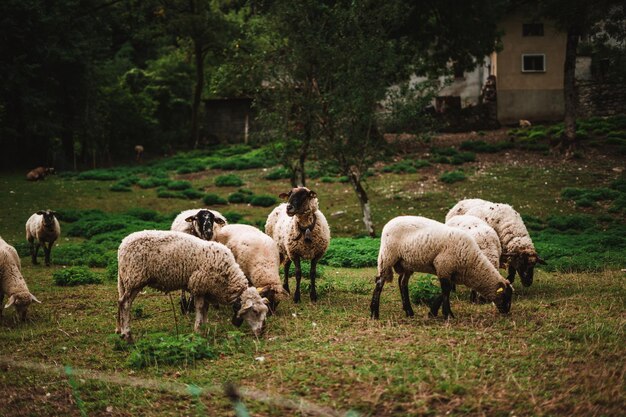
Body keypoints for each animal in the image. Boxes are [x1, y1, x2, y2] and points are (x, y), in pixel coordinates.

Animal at [116, 231, 266, 342]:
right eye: (255, 311)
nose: (262, 332)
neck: (228, 277)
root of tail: (123, 244)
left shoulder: (206, 290)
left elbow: (205, 308)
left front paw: (205, 327)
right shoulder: (199, 286)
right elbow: (200, 307)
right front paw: (198, 330)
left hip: (125, 280)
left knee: (120, 301)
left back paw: (120, 331)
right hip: (135, 278)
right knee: (125, 304)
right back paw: (127, 335)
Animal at [368, 214, 510, 318]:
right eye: (505, 296)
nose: (507, 312)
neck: (471, 263)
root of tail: (390, 222)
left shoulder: (450, 272)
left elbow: (445, 291)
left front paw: (434, 312)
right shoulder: (443, 265)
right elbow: (446, 290)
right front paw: (448, 315)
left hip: (406, 262)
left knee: (402, 283)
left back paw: (409, 312)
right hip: (387, 256)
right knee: (379, 281)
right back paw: (374, 313)